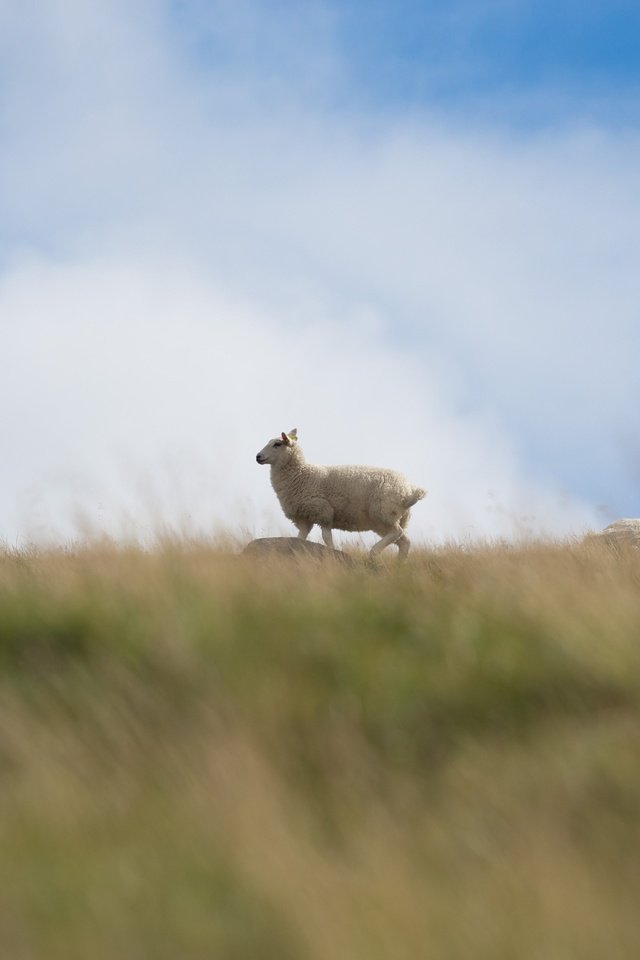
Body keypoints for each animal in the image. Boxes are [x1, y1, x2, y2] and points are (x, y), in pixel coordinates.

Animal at [252, 428, 428, 556]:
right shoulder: (304, 519)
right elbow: (300, 537)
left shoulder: (323, 512)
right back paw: (399, 566)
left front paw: (332, 551)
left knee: (397, 534)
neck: (300, 474)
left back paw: (373, 552)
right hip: (390, 519)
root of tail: (408, 491)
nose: (258, 457)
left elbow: (326, 538)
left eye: (277, 444)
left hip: (384, 512)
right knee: (404, 542)